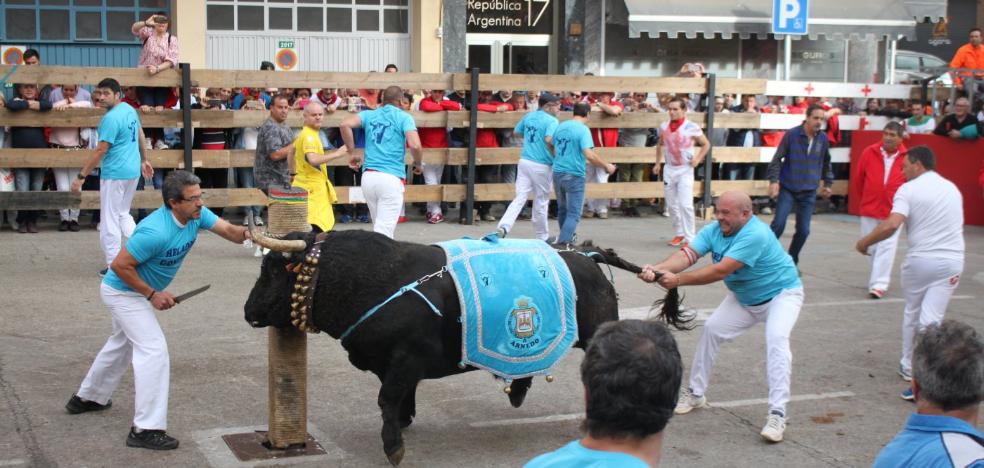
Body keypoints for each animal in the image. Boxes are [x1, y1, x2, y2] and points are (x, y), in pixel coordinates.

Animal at [242, 229, 688, 466]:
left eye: (273, 271)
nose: (248, 311)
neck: (376, 280)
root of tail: (587, 253)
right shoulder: (403, 365)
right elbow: (401, 399)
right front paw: (403, 423)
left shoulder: (404, 359)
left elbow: (387, 399)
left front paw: (394, 446)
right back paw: (519, 388)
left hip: (598, 334)